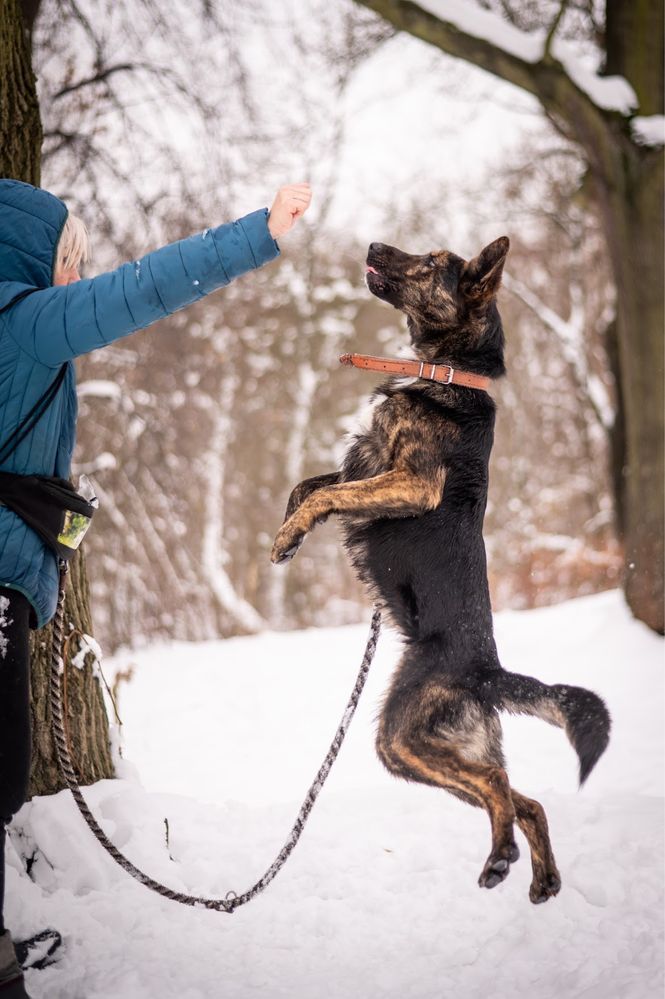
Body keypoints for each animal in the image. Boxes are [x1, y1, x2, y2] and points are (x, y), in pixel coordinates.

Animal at [270, 236, 608, 908]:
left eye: (430, 261)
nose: (373, 243)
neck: (450, 374)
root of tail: (486, 673)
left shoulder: (411, 481)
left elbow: (326, 494)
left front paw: (288, 537)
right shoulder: (366, 466)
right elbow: (312, 486)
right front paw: (290, 531)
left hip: (402, 736)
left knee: (500, 784)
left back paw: (501, 858)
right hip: (428, 748)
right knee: (521, 797)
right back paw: (536, 875)